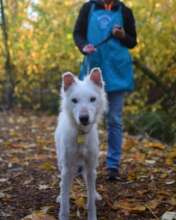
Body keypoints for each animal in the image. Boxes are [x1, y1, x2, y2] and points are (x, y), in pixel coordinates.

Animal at [55, 68, 106, 220]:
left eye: (92, 99)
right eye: (74, 100)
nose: (84, 118)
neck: (81, 134)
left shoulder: (90, 166)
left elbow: (90, 199)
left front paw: (92, 215)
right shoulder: (67, 167)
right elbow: (65, 202)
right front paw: (63, 215)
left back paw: (95, 194)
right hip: (61, 161)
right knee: (62, 183)